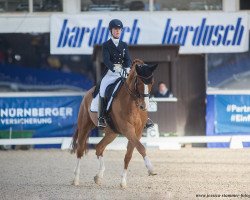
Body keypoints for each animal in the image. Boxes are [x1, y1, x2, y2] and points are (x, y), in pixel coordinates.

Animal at [71, 58, 157, 188]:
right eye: (139, 83)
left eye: (151, 82)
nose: (144, 106)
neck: (132, 103)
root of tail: (88, 92)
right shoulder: (127, 129)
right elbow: (141, 148)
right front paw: (151, 169)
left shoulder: (137, 132)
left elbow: (128, 155)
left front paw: (123, 182)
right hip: (84, 127)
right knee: (80, 150)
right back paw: (76, 179)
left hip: (112, 133)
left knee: (99, 148)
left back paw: (98, 176)